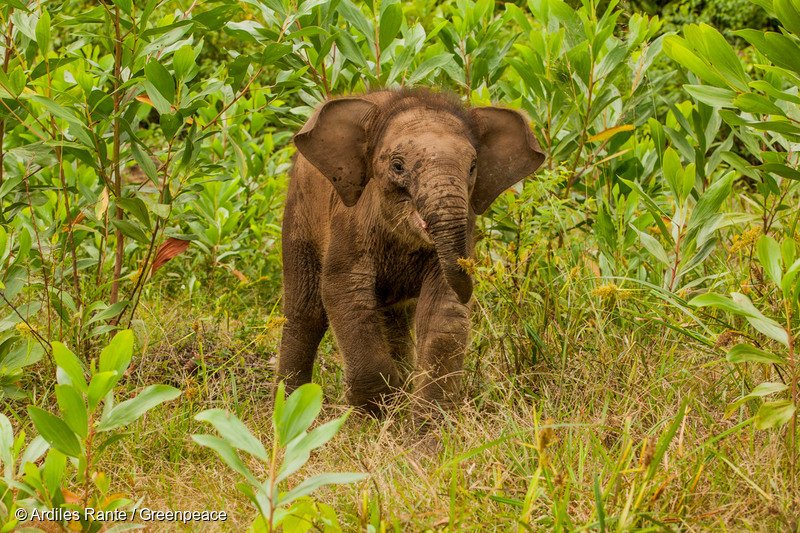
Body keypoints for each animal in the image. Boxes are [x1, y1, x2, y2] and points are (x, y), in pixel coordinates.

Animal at [276, 88, 544, 416]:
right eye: (397, 166)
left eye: (472, 167)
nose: (472, 275)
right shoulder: (349, 221)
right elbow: (345, 292)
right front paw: (377, 412)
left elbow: (443, 311)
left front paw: (423, 422)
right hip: (299, 211)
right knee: (306, 312)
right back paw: (289, 409)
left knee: (394, 317)